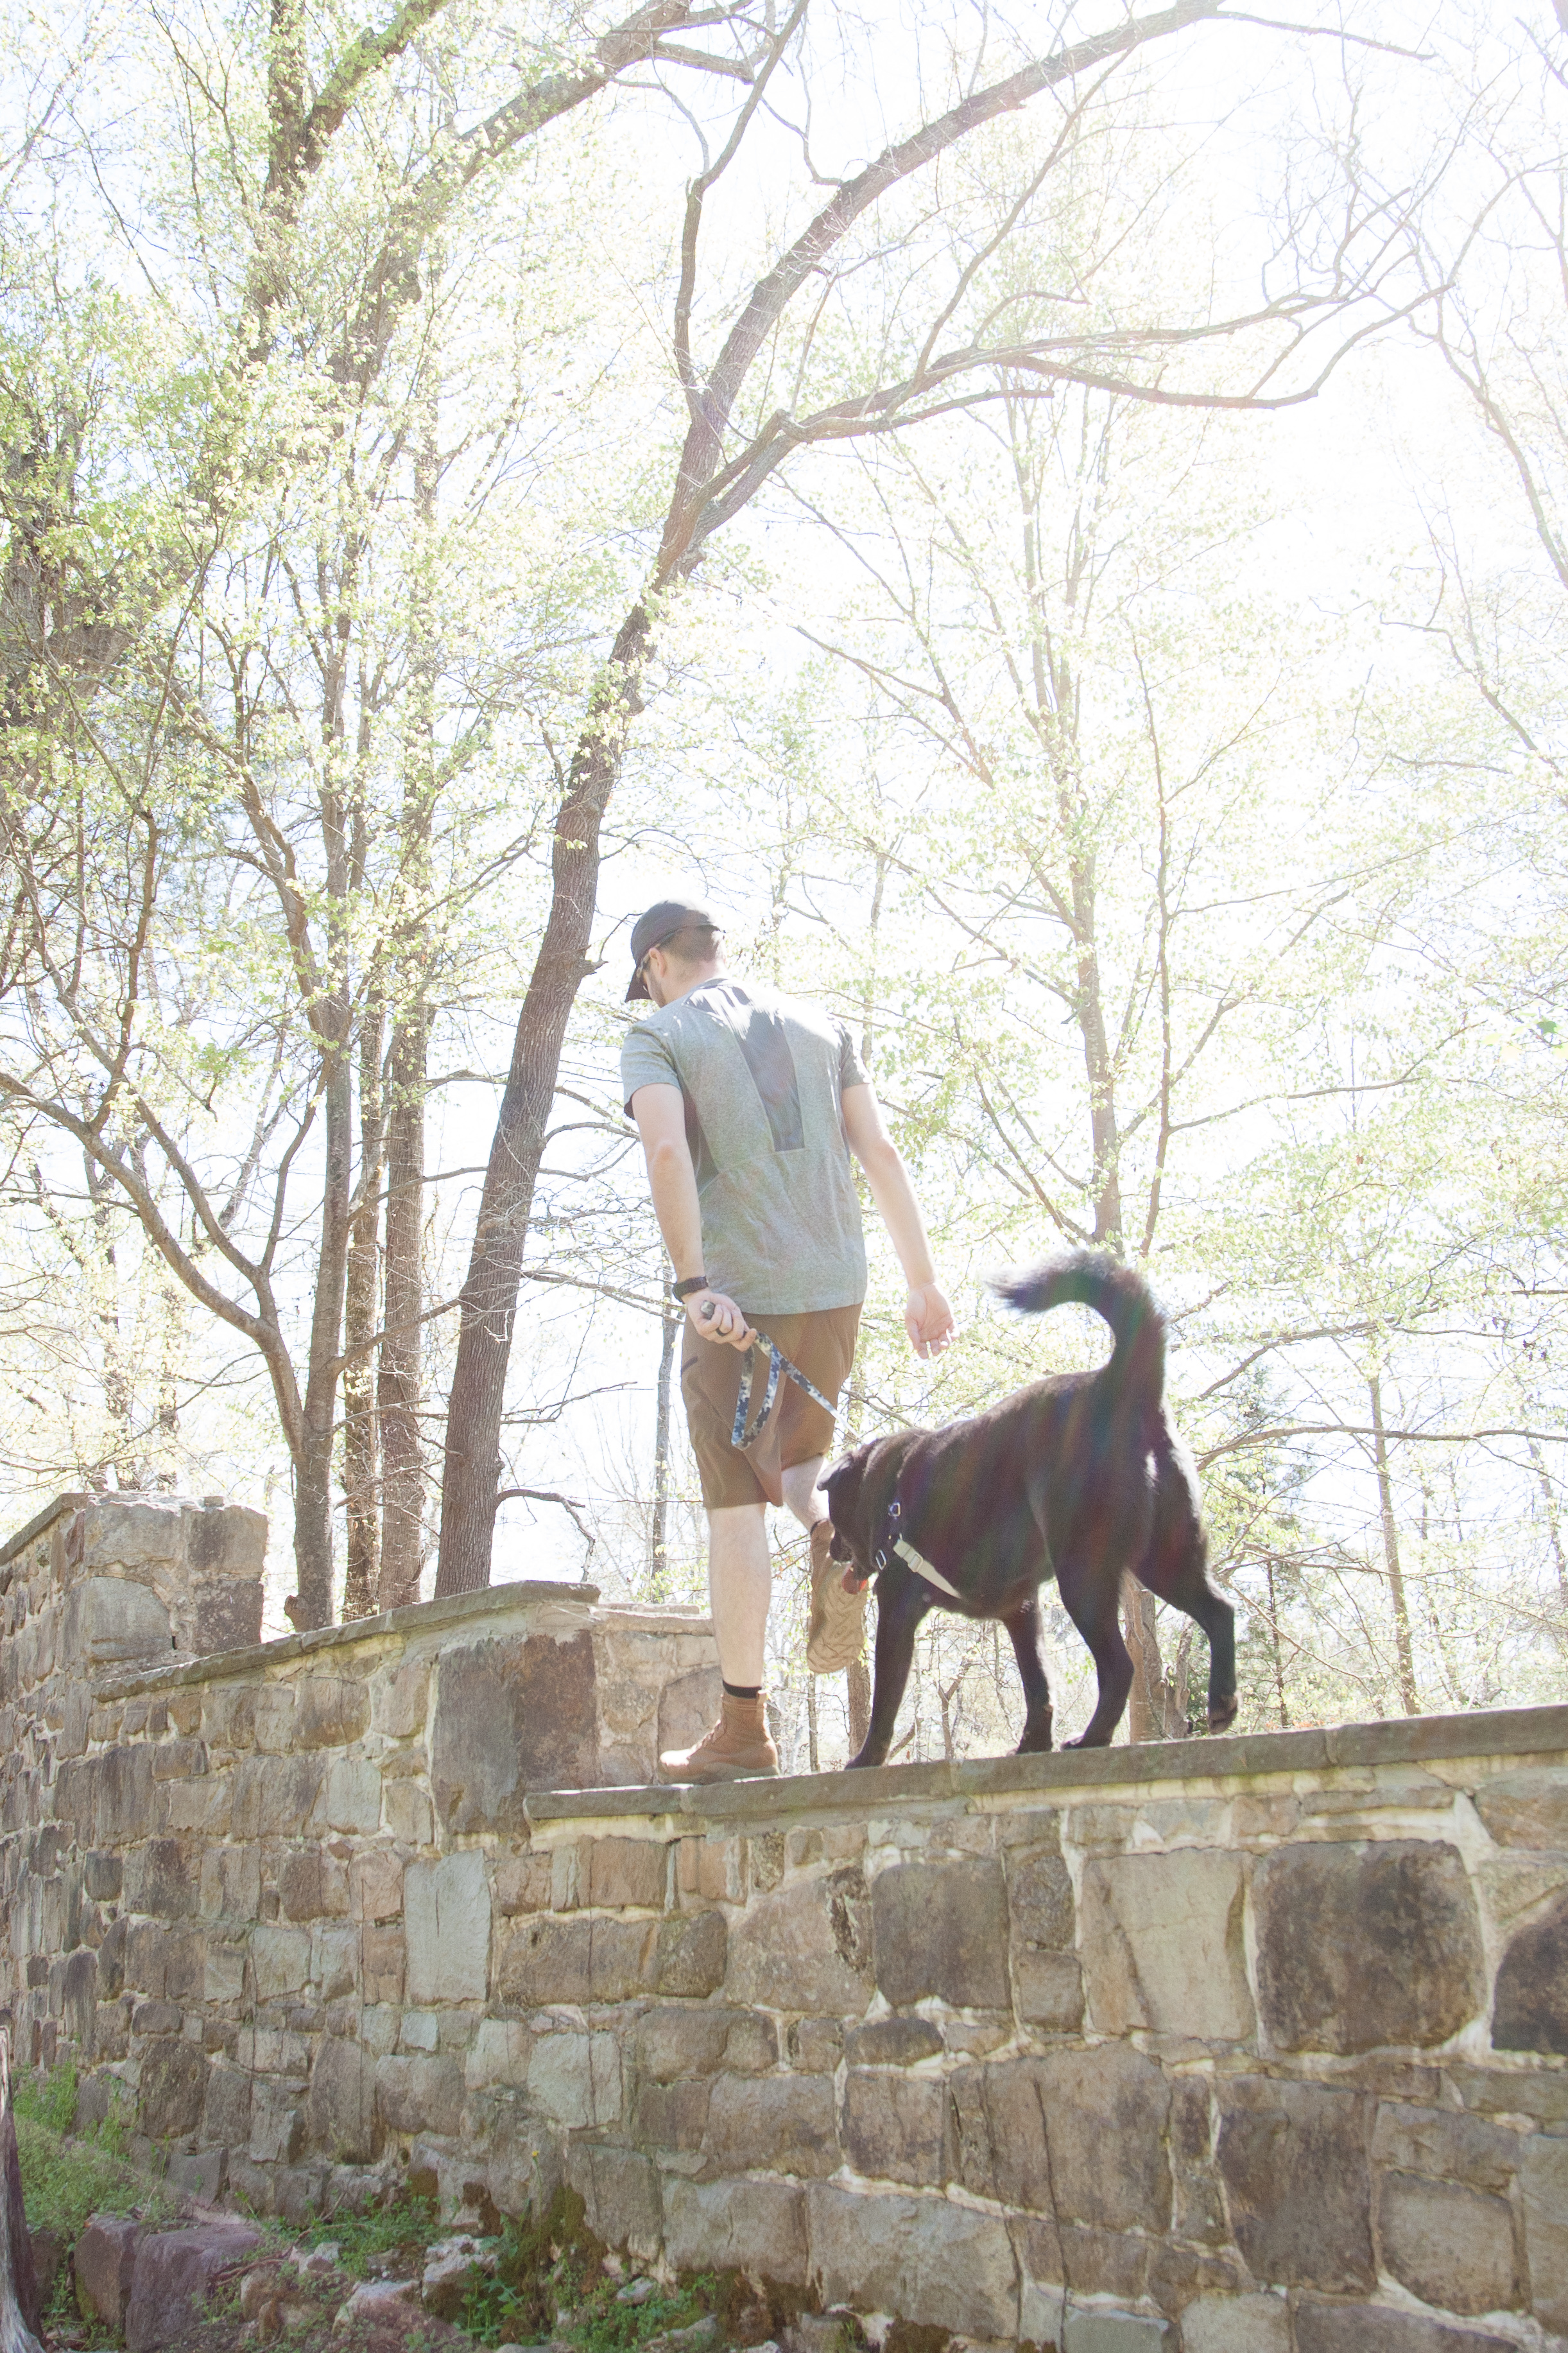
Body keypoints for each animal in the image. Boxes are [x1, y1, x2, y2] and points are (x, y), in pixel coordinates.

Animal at [822, 1251, 1241, 1769]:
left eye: (832, 1512)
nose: (831, 1547)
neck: (885, 1486)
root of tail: (1121, 1383)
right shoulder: (1021, 1611)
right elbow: (1037, 1685)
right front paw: (1032, 1743)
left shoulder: (897, 1609)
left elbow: (886, 1699)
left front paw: (866, 1758)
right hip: (1166, 1559)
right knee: (1220, 1610)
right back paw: (1221, 1702)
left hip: (1084, 1575)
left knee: (1119, 1666)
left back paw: (1092, 1738)